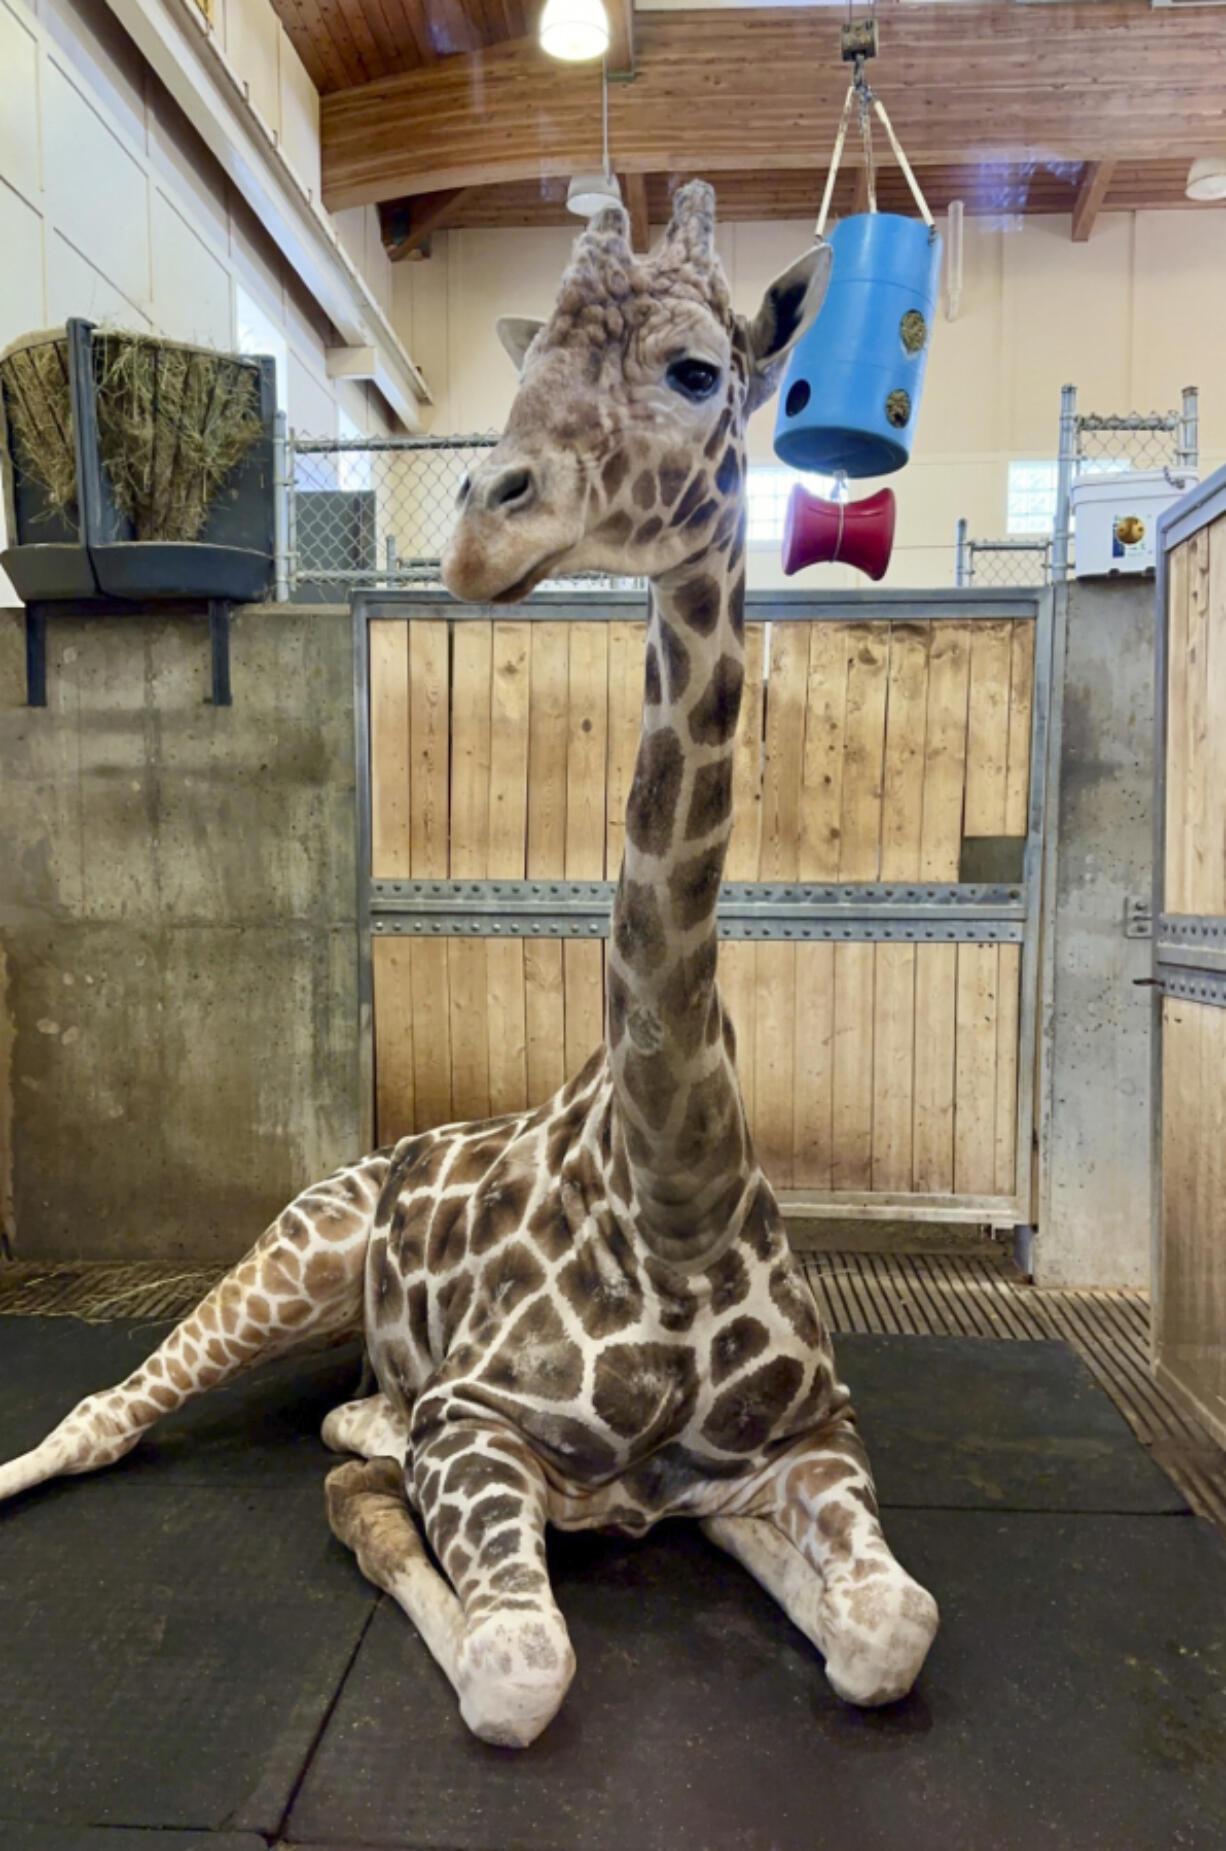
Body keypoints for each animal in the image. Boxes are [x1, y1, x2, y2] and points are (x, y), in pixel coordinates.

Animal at [0, 184, 940, 1747]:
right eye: (531, 360)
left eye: (698, 369)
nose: (479, 540)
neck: (675, 1192)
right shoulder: (478, 1427)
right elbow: (516, 1662)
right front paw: (396, 1496)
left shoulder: (812, 1432)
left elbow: (884, 1629)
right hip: (292, 1256)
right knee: (104, 1416)